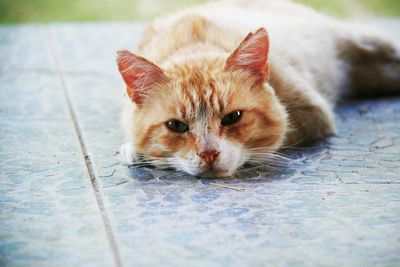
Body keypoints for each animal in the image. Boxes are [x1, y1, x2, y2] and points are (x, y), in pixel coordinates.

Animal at [118, 1, 400, 179]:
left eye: (233, 117)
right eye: (176, 126)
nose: (209, 154)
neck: (194, 43)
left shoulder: (313, 113)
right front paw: (136, 149)